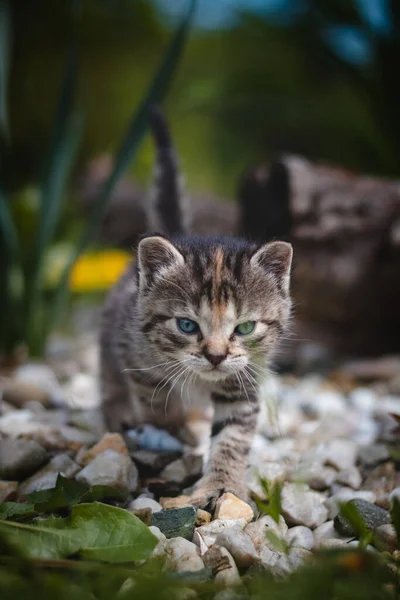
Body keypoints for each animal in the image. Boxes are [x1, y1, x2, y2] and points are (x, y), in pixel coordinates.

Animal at [101, 106, 294, 506]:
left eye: (245, 328)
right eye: (187, 326)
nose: (216, 356)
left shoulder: (245, 378)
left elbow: (232, 435)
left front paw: (222, 484)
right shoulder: (138, 359)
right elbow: (158, 402)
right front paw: (178, 432)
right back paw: (119, 409)